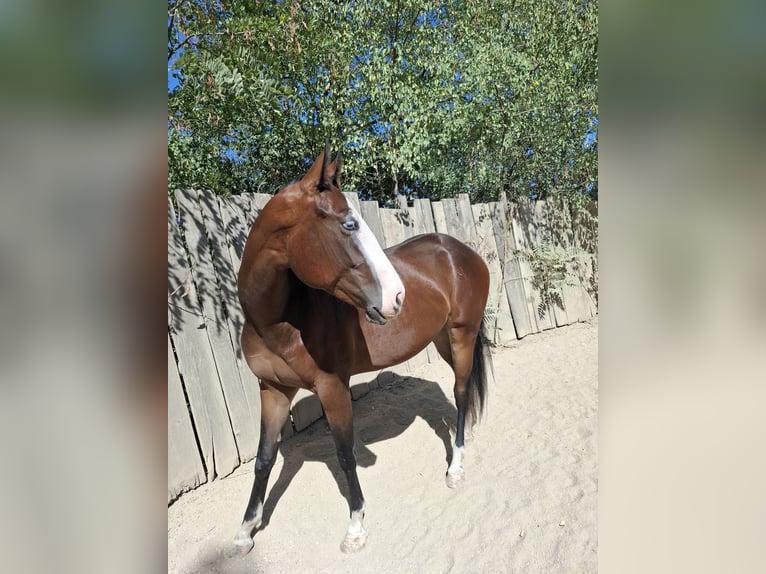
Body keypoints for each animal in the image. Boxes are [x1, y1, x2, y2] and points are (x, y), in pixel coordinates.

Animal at [234, 143, 491, 554]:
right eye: (348, 225)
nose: (396, 297)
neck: (277, 322)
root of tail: (458, 251)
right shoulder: (273, 390)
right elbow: (263, 459)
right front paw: (245, 530)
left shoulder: (332, 387)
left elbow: (344, 455)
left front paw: (355, 527)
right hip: (441, 338)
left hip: (461, 336)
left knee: (462, 392)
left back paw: (456, 467)